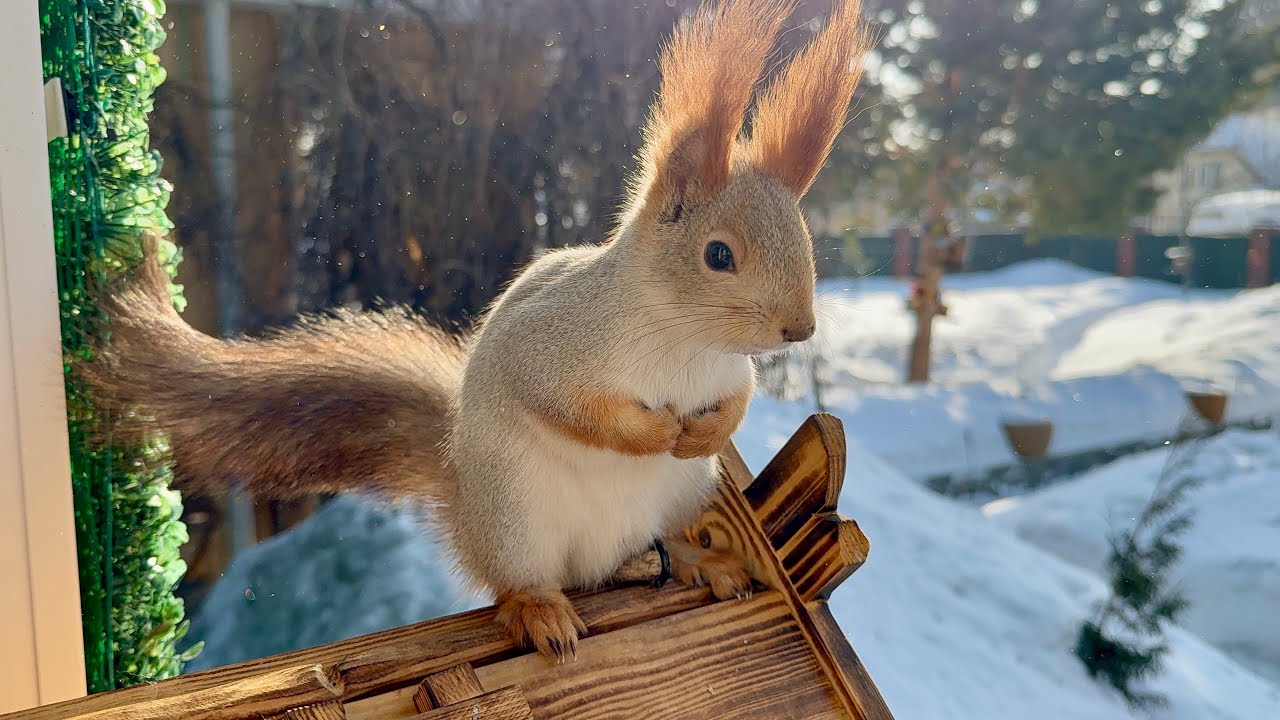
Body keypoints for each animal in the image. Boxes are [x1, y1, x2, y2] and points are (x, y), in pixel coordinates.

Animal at [82, 0, 869, 663]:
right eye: (719, 256)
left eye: (804, 240)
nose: (799, 327)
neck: (685, 343)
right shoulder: (554, 344)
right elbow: (569, 402)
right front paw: (654, 431)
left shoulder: (730, 370)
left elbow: (737, 398)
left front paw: (706, 430)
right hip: (517, 516)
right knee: (521, 582)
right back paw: (540, 610)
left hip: (678, 497)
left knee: (650, 549)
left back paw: (699, 560)